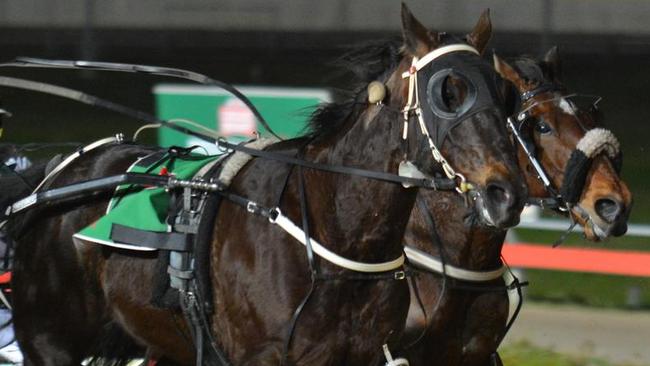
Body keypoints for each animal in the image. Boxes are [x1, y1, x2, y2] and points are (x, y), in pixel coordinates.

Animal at [8, 5, 528, 366]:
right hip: (51, 342)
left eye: (505, 94)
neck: (335, 232)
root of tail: (55, 178)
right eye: (447, 93)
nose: (506, 193)